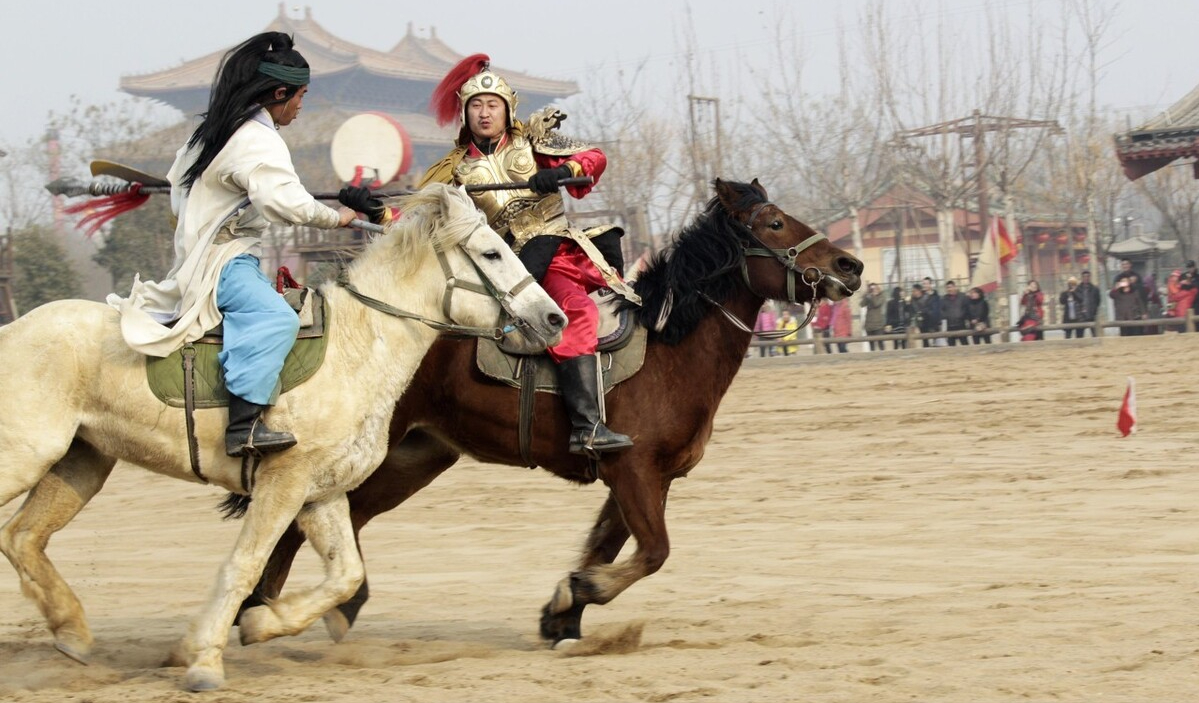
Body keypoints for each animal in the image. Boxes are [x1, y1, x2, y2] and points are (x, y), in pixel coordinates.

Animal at [0, 182, 565, 691]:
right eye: (491, 252)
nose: (553, 318)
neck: (357, 347)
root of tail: (12, 332)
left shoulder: (322, 493)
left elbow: (344, 574)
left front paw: (259, 623)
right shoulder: (283, 483)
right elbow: (246, 565)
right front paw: (205, 660)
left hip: (81, 461)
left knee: (23, 536)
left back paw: (72, 633)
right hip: (25, 456)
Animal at [245, 177, 863, 643]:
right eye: (775, 223)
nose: (850, 265)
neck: (670, 349)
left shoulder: (646, 479)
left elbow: (609, 546)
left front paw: (562, 611)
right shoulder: (633, 471)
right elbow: (654, 551)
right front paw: (581, 591)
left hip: (414, 457)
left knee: (341, 520)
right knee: (298, 524)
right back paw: (259, 608)